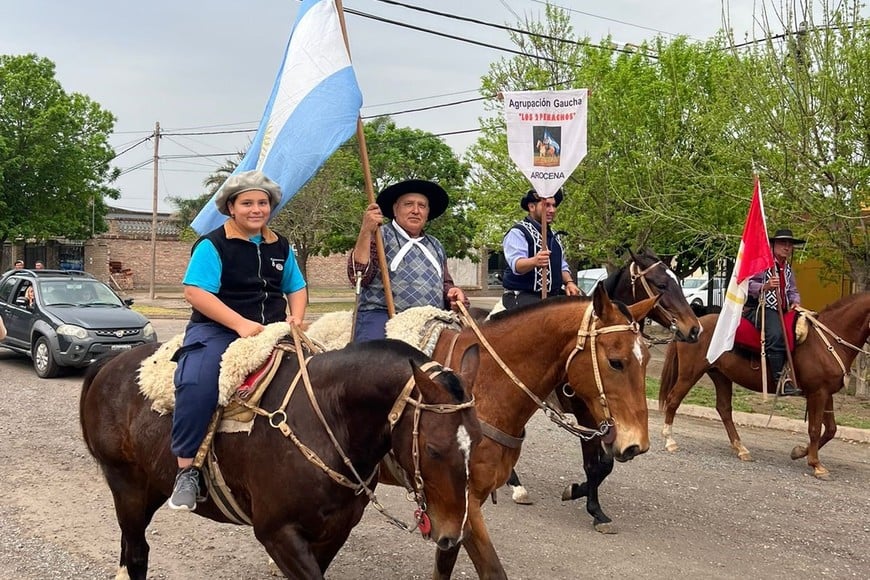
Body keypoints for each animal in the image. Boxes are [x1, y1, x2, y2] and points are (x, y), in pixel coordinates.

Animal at [81, 338, 484, 576]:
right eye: (433, 449)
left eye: (478, 441)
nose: (454, 535)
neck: (327, 420)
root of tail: (114, 362)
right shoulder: (277, 533)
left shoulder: (333, 531)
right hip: (127, 486)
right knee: (137, 552)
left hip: (150, 488)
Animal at [510, 247, 700, 532]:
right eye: (661, 285)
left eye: (678, 281)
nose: (694, 329)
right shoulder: (586, 413)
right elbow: (596, 463)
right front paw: (593, 507)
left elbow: (605, 464)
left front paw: (579, 492)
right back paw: (516, 486)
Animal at [660, 292, 870, 478]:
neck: (827, 342)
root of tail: (692, 327)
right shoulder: (817, 393)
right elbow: (815, 429)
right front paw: (816, 465)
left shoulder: (826, 393)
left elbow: (831, 430)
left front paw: (799, 452)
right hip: (689, 375)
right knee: (673, 400)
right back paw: (670, 440)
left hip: (720, 376)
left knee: (724, 409)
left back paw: (741, 448)